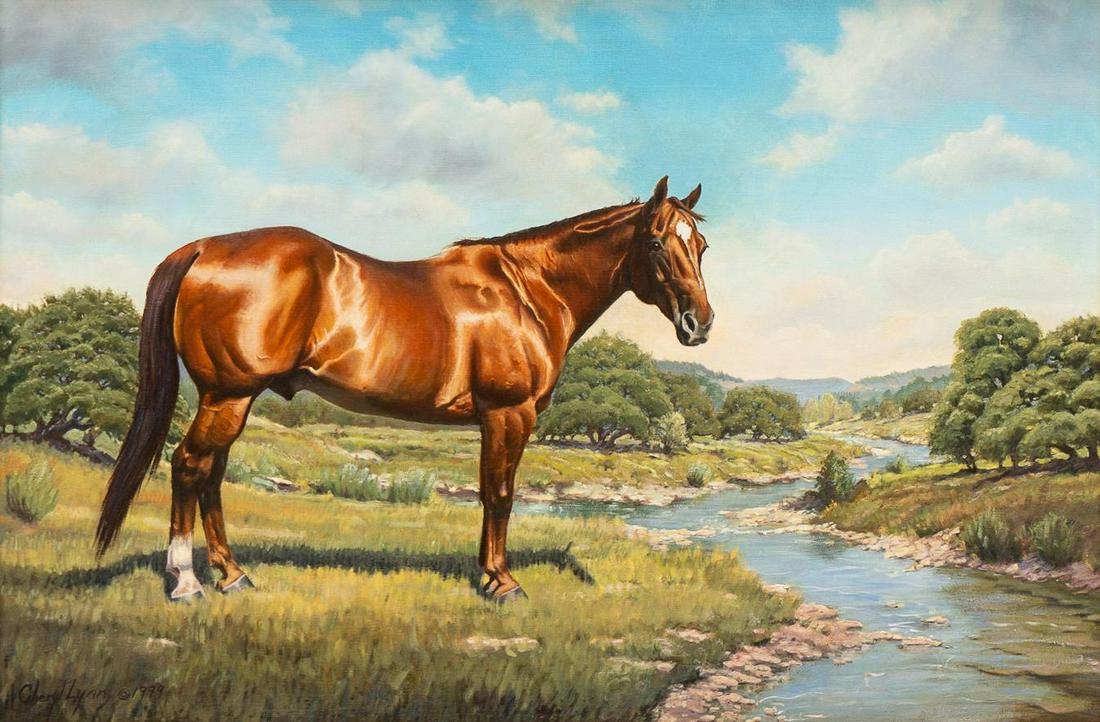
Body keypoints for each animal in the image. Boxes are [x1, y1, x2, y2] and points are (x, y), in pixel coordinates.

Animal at [94, 176, 714, 601]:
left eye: (701, 246)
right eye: (656, 243)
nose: (699, 323)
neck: (527, 290)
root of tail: (202, 248)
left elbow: (490, 494)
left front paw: (487, 575)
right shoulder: (508, 414)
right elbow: (500, 494)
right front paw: (502, 582)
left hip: (230, 398)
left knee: (212, 475)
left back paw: (233, 574)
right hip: (228, 394)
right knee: (189, 467)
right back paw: (186, 582)